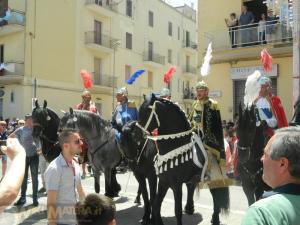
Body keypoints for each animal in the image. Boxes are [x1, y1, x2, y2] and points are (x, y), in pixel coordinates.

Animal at [138, 95, 230, 225]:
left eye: (146, 111)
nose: (136, 134)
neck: (175, 144)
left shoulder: (176, 184)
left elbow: (177, 210)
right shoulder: (164, 181)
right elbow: (156, 205)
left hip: (214, 177)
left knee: (216, 197)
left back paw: (215, 219)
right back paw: (192, 209)